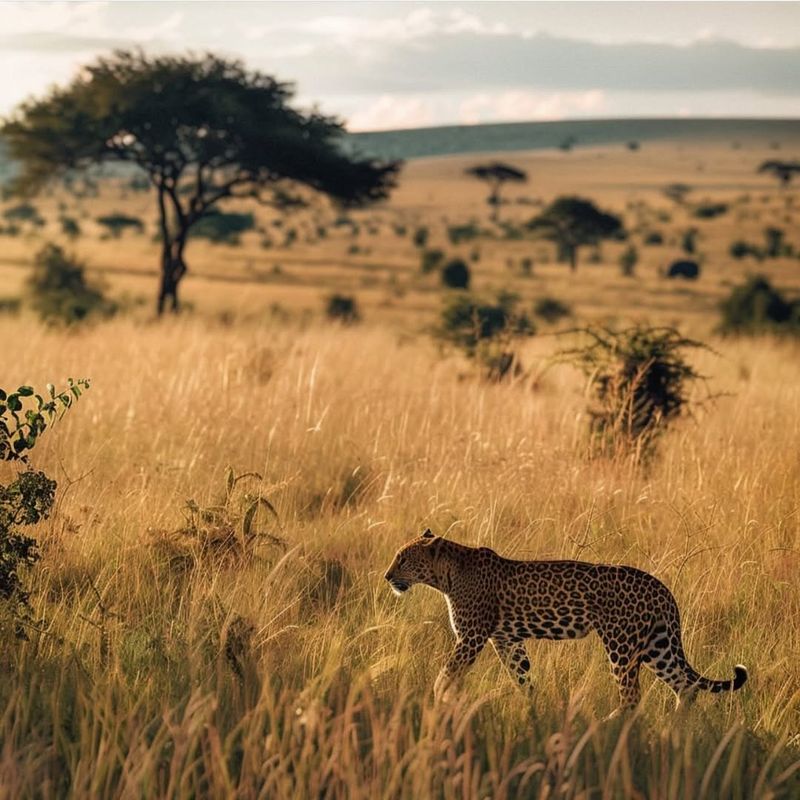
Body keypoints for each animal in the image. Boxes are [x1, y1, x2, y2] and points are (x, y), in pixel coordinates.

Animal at [384, 528, 748, 708]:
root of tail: (662, 588)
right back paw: (675, 730)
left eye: (403, 559)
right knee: (685, 687)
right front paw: (532, 709)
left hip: (622, 645)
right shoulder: (506, 640)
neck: (447, 575)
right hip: (657, 646)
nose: (387, 577)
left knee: (632, 695)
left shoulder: (471, 636)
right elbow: (522, 677)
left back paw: (609, 727)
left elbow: (446, 675)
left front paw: (438, 700)